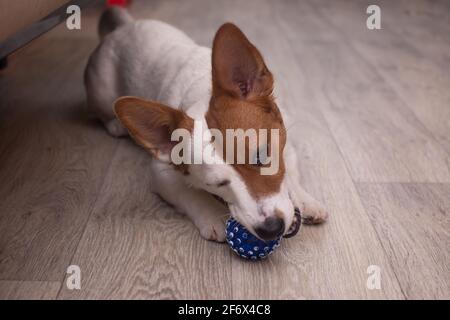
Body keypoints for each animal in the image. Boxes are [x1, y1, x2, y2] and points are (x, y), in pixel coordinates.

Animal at [84, 7, 326, 241]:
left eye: (261, 155)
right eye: (216, 184)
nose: (271, 229)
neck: (201, 91)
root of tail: (122, 27)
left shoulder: (286, 142)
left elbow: (289, 172)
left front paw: (304, 199)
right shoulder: (161, 172)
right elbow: (189, 193)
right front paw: (211, 214)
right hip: (101, 90)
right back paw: (116, 125)